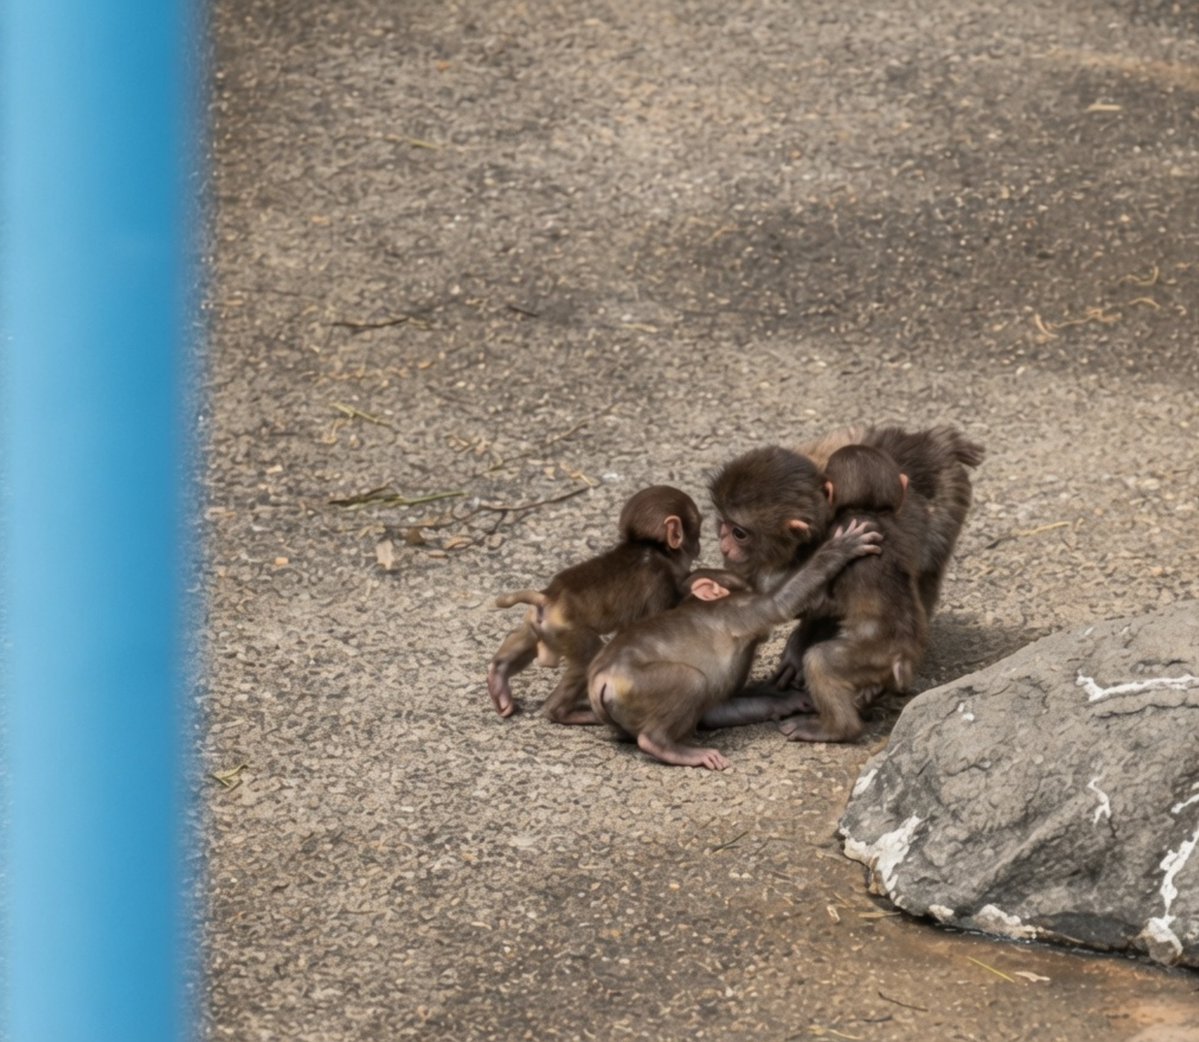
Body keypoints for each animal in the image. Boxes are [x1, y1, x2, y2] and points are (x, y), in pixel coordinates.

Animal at [487, 485, 703, 724]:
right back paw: (562, 712)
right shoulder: (660, 583)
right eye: (698, 530)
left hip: (536, 622)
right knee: (590, 654)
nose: (699, 546)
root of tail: (548, 597)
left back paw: (498, 677)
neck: (652, 548)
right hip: (565, 631)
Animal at [586, 518, 882, 769]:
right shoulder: (741, 609)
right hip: (639, 684)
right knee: (691, 682)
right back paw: (665, 746)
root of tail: (600, 679)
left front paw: (790, 701)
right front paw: (837, 550)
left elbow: (715, 711)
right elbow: (780, 603)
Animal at [775, 443, 928, 743]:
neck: (868, 510)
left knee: (820, 662)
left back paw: (834, 728)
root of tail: (901, 659)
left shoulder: (835, 530)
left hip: (867, 657)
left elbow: (815, 604)